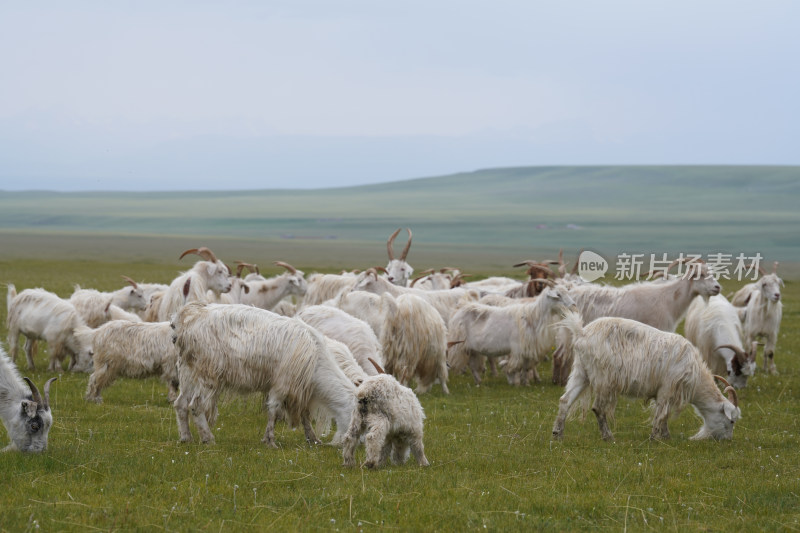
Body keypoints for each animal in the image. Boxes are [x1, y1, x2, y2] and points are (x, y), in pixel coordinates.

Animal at [170, 302, 354, 446]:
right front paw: (270, 441)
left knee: (181, 404)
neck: (317, 362)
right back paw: (208, 438)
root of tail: (187, 319)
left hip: (188, 372)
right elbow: (273, 410)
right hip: (208, 374)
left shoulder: (298, 390)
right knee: (196, 406)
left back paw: (186, 438)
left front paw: (313, 439)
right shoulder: (283, 384)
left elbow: (304, 415)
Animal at [446, 284, 580, 384]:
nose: (574, 305)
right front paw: (517, 382)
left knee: (473, 364)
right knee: (470, 364)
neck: (533, 316)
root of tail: (461, 306)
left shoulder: (528, 349)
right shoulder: (518, 349)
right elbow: (518, 367)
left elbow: (526, 367)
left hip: (472, 348)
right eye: (558, 295)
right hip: (461, 345)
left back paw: (479, 382)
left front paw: (526, 383)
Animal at [552, 312, 740, 440]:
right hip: (604, 378)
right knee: (598, 408)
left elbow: (664, 414)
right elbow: (661, 414)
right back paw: (608, 437)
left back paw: (557, 434)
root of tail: (581, 333)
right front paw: (655, 438)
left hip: (581, 372)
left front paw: (665, 436)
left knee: (565, 400)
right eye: (731, 421)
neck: (695, 375)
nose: (728, 440)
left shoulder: (665, 392)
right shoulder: (667, 388)